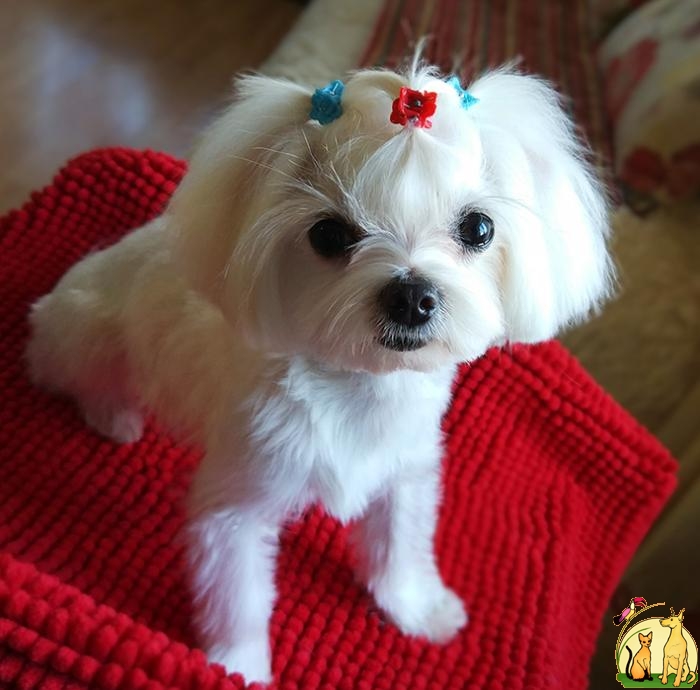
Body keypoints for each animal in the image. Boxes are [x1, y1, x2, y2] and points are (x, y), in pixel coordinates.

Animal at [25, 61, 613, 683]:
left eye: (478, 228)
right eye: (328, 234)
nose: (412, 296)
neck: (359, 386)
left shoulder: (405, 471)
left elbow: (399, 547)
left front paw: (418, 608)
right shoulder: (240, 498)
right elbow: (237, 597)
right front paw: (238, 668)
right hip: (86, 334)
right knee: (72, 374)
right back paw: (114, 414)